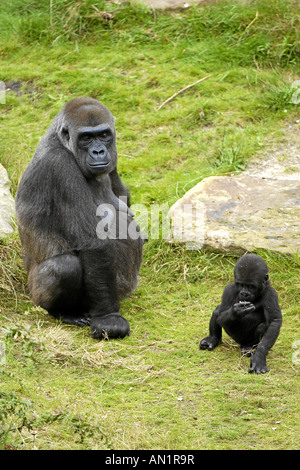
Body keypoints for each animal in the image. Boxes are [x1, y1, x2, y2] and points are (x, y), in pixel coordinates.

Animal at [15, 96, 145, 338]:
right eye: (86, 138)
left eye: (104, 134)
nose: (98, 151)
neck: (59, 140)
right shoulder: (60, 167)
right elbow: (92, 243)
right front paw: (108, 319)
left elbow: (122, 197)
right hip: (35, 294)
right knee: (64, 266)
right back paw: (65, 313)